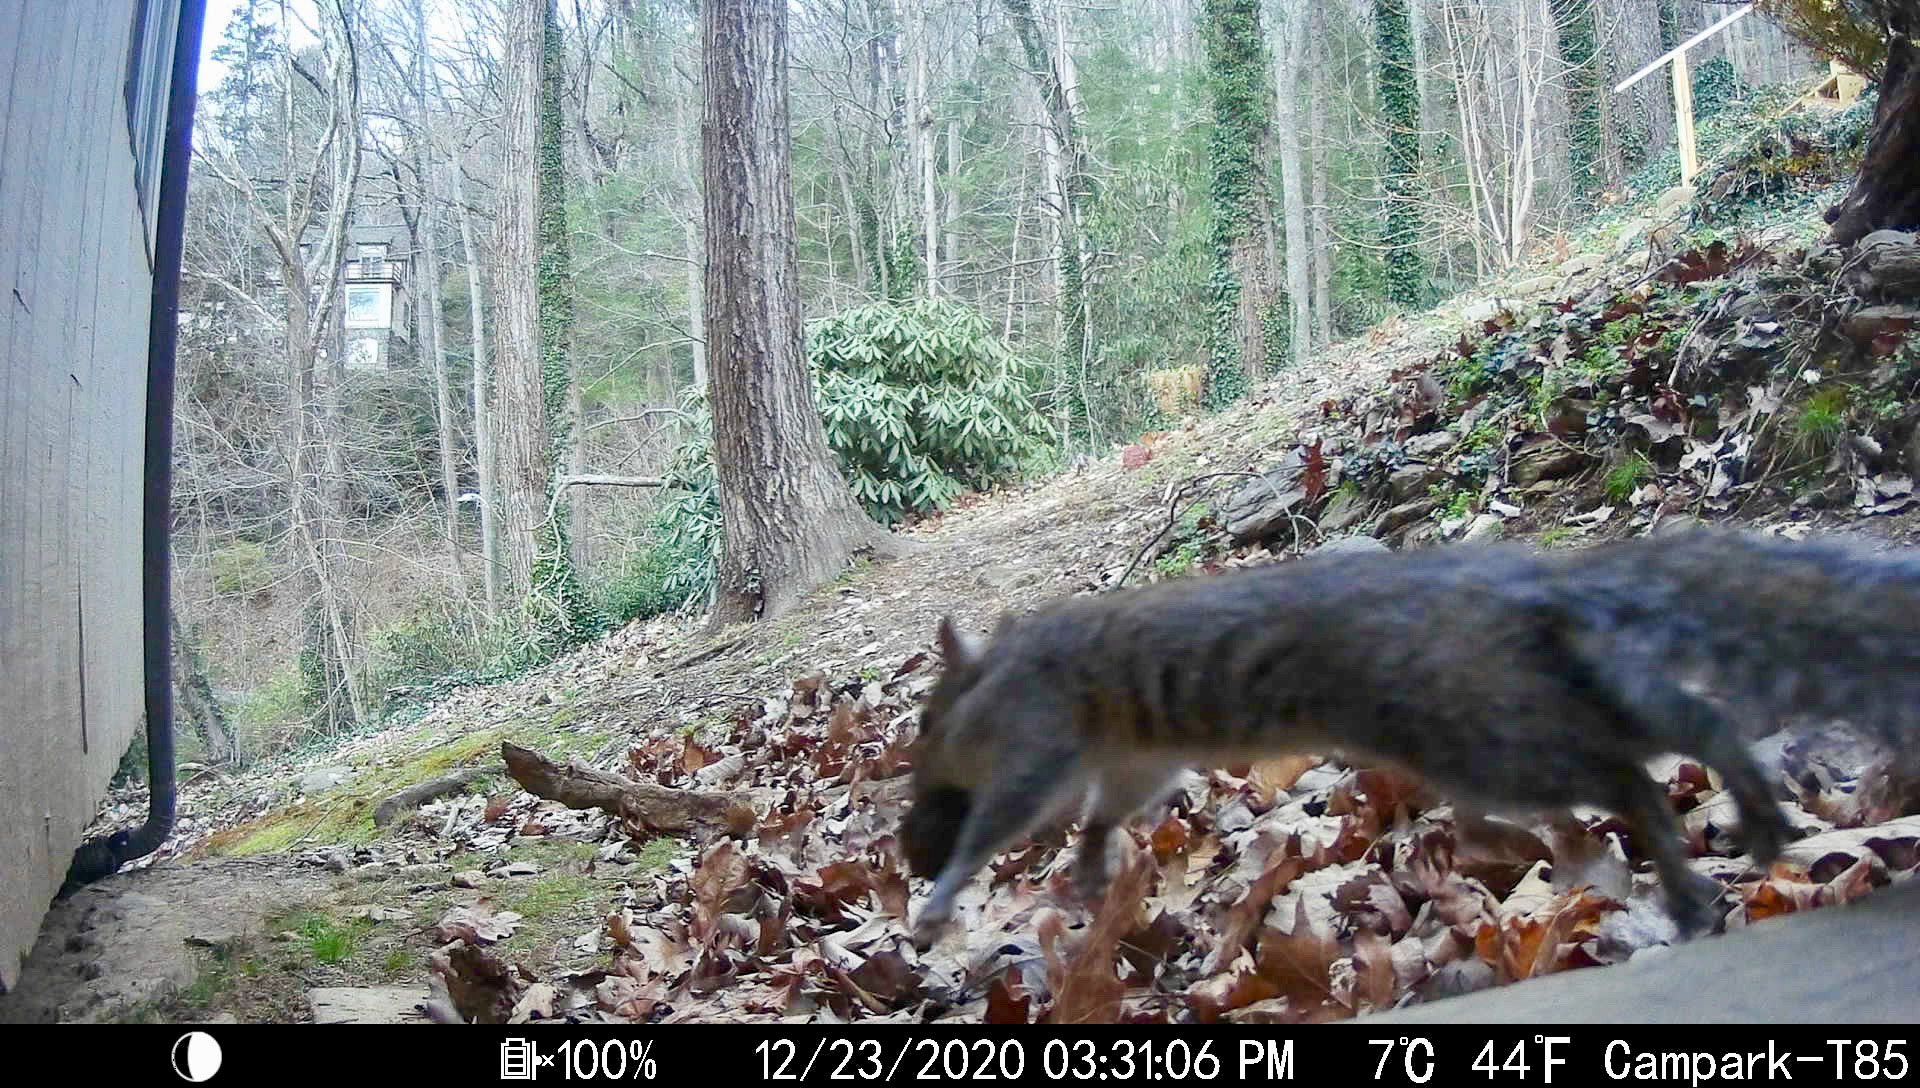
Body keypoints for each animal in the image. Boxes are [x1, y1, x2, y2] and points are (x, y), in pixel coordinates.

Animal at [899, 531, 1920, 947]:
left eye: (927, 730)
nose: (911, 850)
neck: (1007, 667)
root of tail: (1529, 589)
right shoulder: (1131, 753)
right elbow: (1113, 806)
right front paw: (1089, 860)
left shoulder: (1040, 727)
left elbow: (1009, 810)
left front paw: (945, 894)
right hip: (1532, 697)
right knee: (1680, 729)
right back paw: (1737, 834)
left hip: (1490, 733)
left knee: (1627, 774)